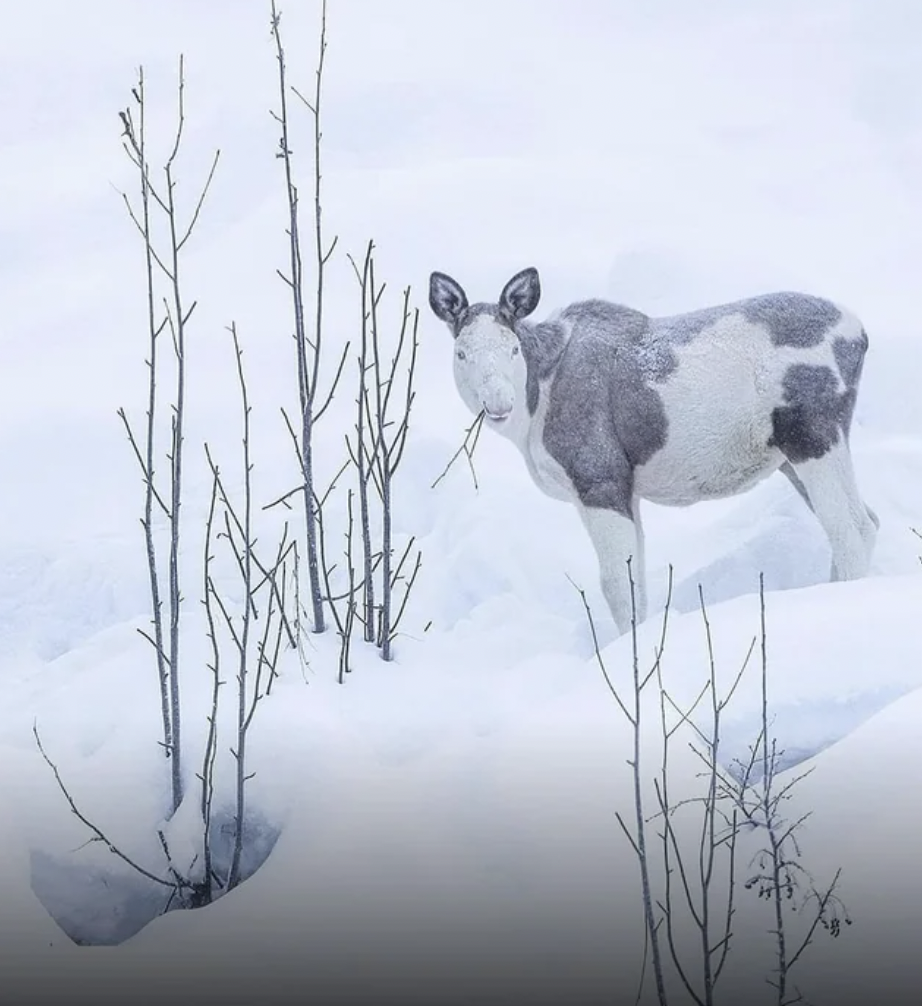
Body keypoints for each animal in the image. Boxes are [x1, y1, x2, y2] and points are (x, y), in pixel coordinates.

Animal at [428, 263, 872, 631]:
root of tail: (859, 335)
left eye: (513, 348)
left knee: (851, 529)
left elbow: (616, 586)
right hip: (792, 454)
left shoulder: (600, 477)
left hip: (811, 433)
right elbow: (636, 582)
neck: (534, 409)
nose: (498, 403)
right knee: (867, 521)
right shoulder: (624, 490)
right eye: (461, 353)